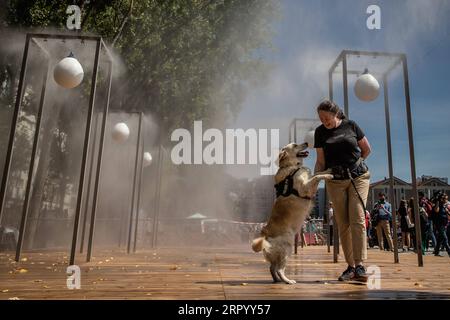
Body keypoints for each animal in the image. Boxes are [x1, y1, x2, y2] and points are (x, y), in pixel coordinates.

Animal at [251, 141, 332, 284]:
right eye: (295, 145)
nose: (306, 142)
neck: (292, 167)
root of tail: (265, 237)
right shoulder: (306, 188)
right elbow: (317, 176)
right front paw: (328, 175)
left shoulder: (308, 181)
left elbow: (317, 172)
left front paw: (328, 170)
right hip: (287, 247)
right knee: (279, 269)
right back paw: (288, 281)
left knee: (272, 268)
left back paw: (277, 280)